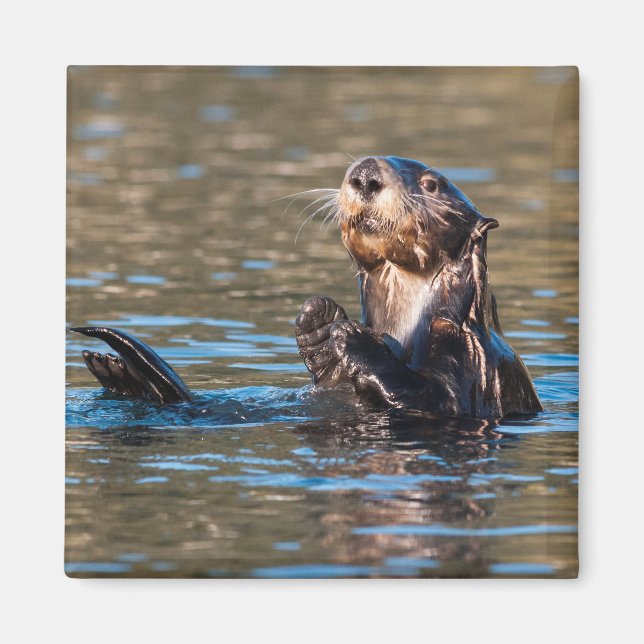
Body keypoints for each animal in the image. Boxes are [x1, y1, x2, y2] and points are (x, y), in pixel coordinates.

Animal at [71, 156, 541, 419]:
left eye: (431, 184)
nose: (365, 175)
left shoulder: (470, 361)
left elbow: (433, 399)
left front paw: (352, 337)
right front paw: (318, 322)